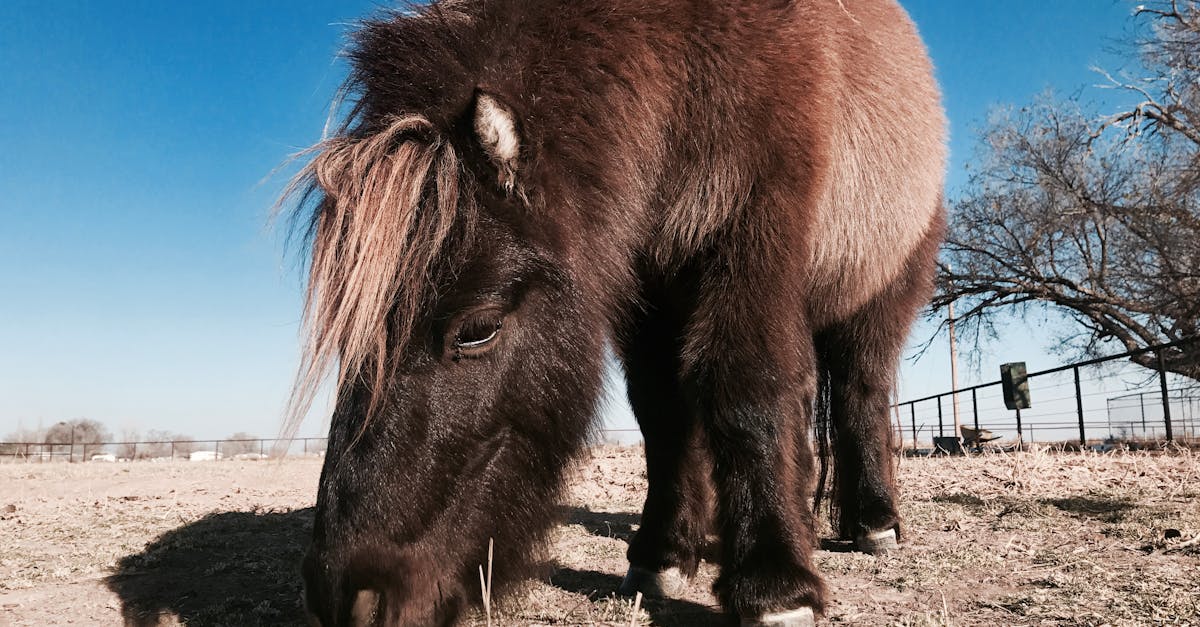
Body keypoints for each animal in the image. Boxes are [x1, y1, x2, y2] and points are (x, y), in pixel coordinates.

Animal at [284, 1, 945, 625]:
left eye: (478, 329)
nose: (344, 597)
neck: (690, 60)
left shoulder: (754, 244)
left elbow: (748, 388)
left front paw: (774, 586)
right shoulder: (644, 291)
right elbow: (663, 411)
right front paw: (661, 556)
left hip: (878, 296)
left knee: (861, 391)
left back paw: (873, 522)